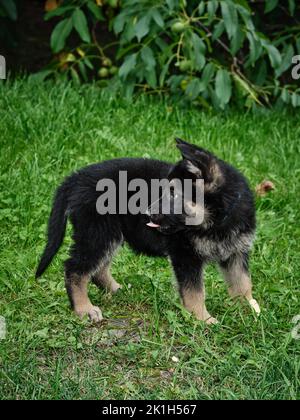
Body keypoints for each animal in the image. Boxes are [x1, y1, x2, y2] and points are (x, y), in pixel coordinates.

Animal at [35, 139, 260, 324]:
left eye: (173, 193)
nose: (147, 213)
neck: (218, 222)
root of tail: (75, 178)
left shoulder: (236, 252)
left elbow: (243, 283)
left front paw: (250, 310)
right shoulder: (186, 256)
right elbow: (194, 291)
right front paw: (202, 319)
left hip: (109, 234)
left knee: (98, 268)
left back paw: (115, 290)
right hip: (97, 233)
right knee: (75, 269)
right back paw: (84, 309)